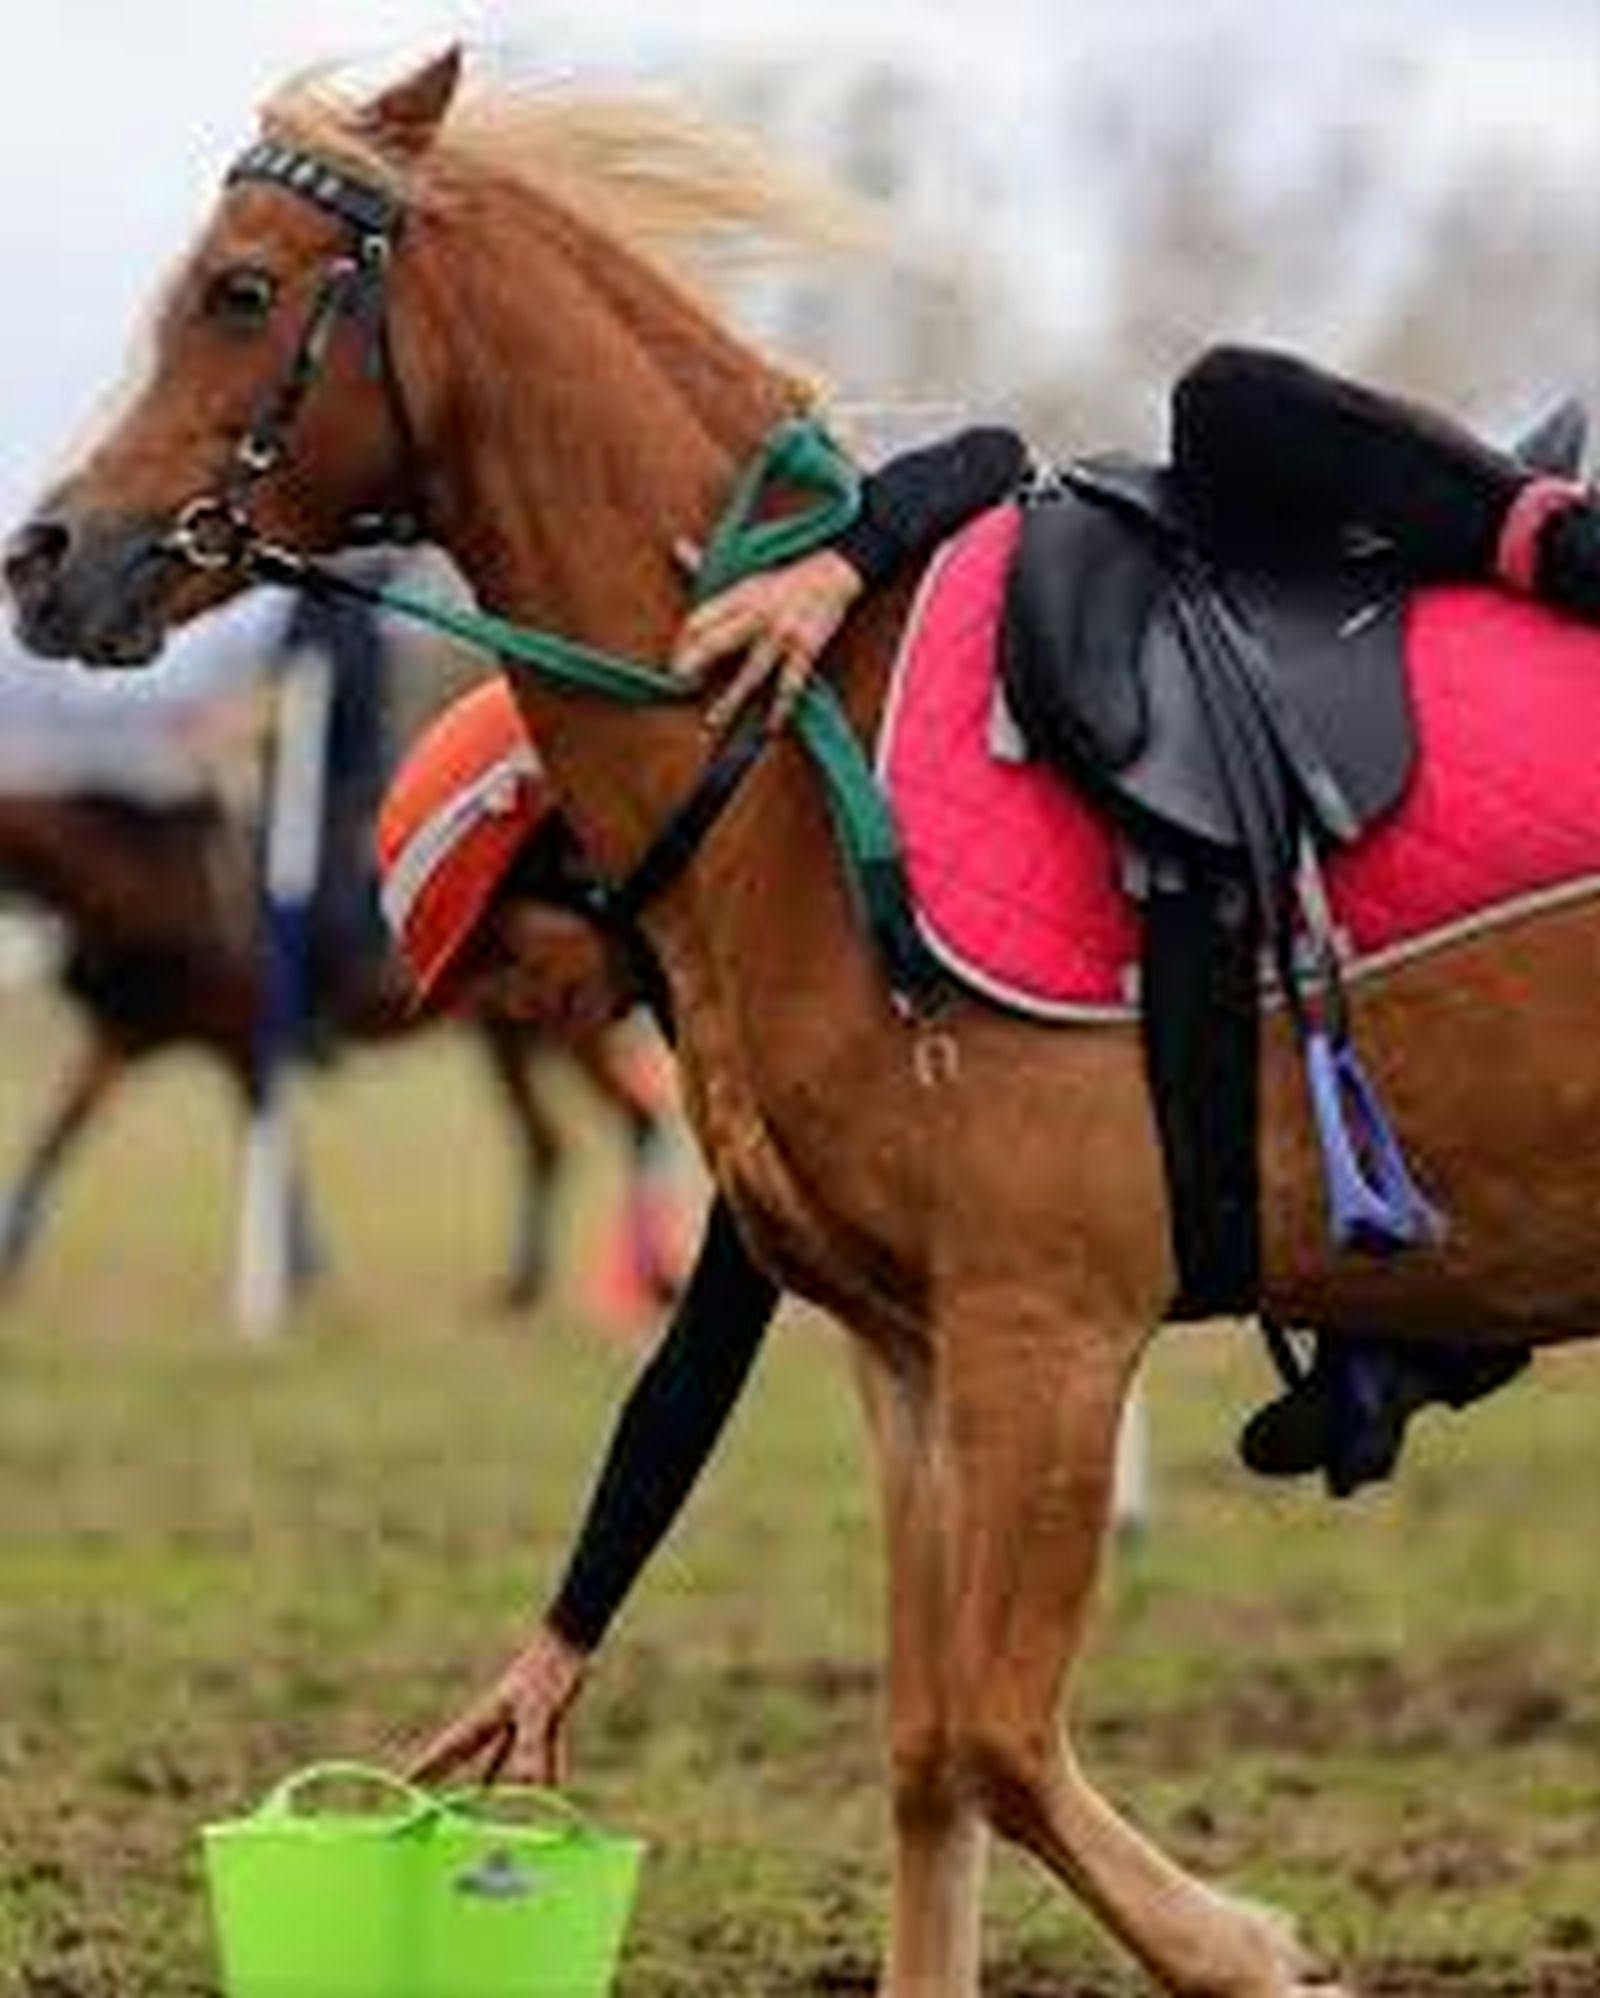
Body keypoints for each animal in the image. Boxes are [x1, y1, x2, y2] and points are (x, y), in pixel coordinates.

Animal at [0, 778, 684, 1317]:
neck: (161, 880)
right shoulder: (127, 1040)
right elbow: (56, 1136)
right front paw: (10, 1263)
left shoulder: (244, 1048)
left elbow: (277, 1157)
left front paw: (304, 1279)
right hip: (509, 1035)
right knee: (546, 1144)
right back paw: (519, 1289)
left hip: (559, 1032)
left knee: (634, 1118)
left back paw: (653, 1283)